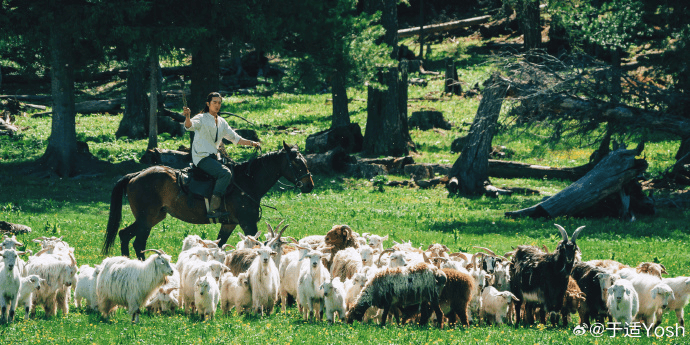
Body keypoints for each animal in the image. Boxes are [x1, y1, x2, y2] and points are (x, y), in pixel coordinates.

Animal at [101, 142, 314, 258]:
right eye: (296, 162)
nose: (309, 185)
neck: (246, 182)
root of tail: (136, 175)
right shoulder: (248, 223)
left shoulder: (229, 224)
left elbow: (219, 246)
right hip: (146, 219)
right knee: (138, 243)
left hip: (152, 218)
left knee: (124, 235)